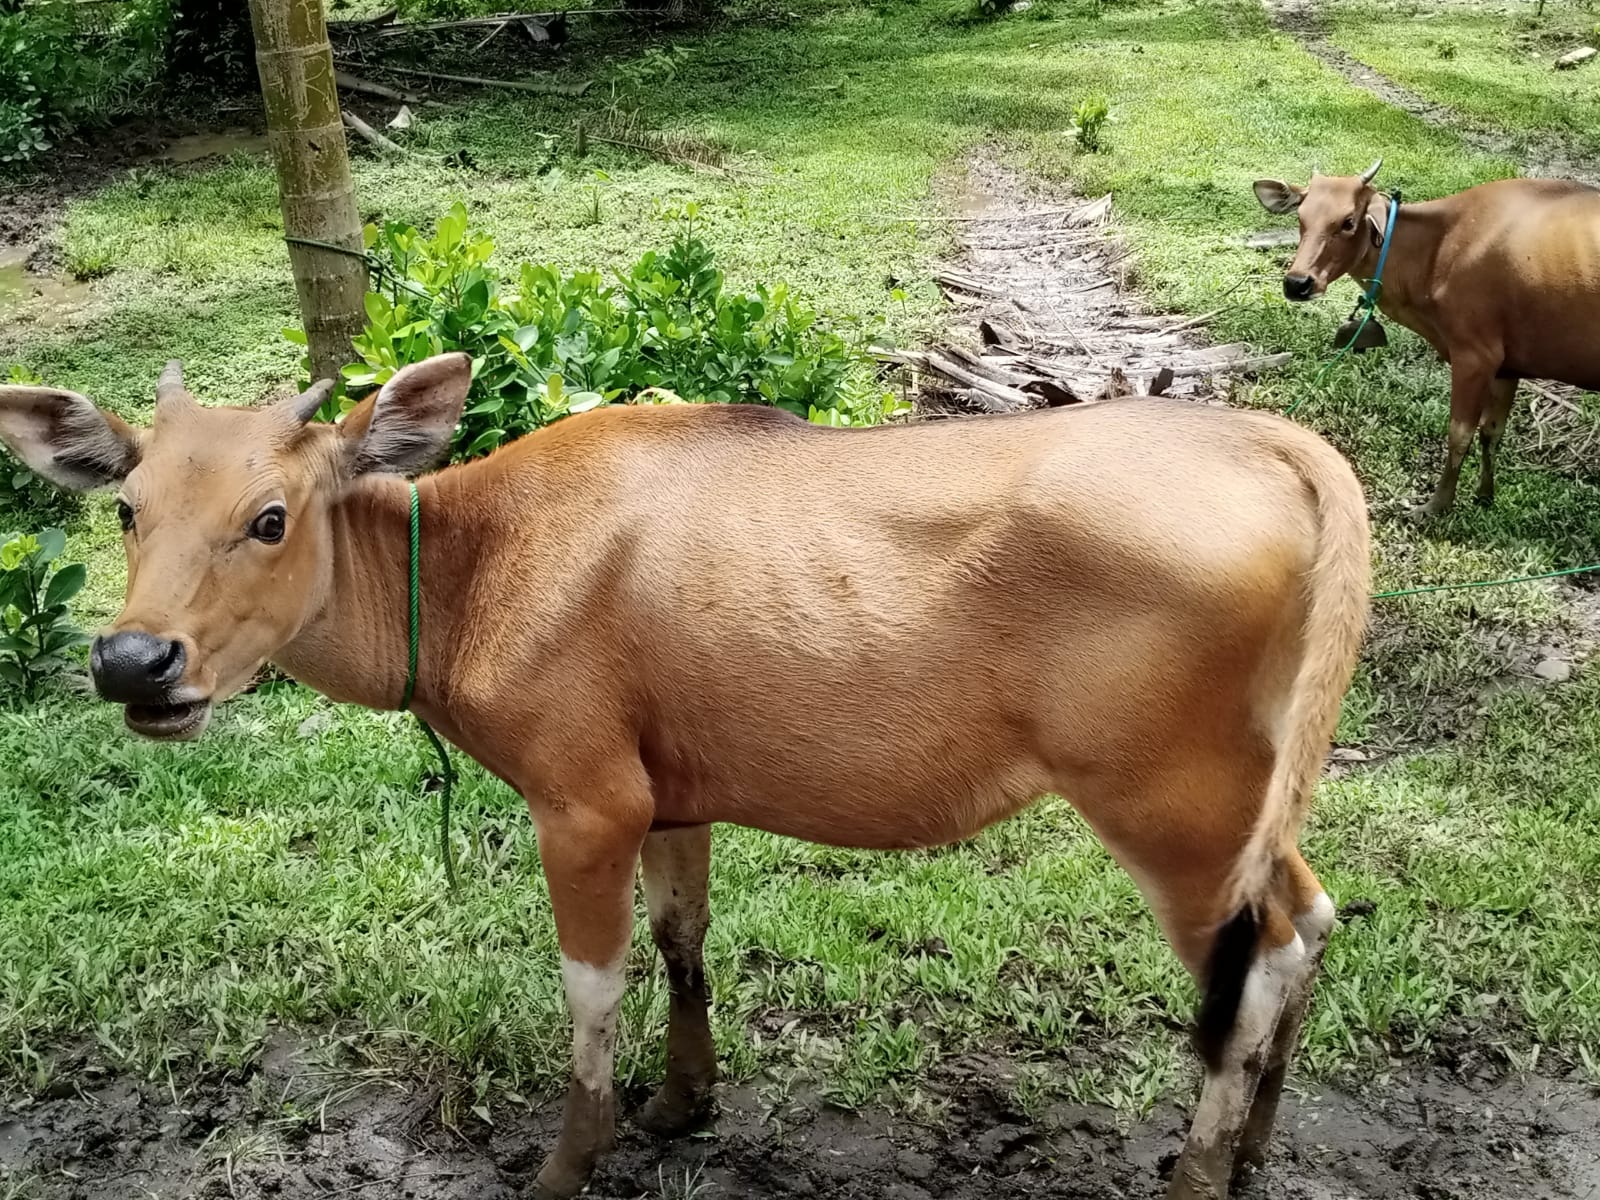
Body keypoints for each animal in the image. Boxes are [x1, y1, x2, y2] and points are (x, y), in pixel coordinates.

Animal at [0, 356, 1376, 1200]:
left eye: (272, 516)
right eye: (125, 508)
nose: (132, 662)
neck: (474, 565)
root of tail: (1272, 443)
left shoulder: (582, 801)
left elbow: (590, 984)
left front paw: (571, 1159)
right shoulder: (672, 795)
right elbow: (681, 941)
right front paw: (681, 1101)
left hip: (1163, 799)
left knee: (1251, 967)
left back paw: (1198, 1173)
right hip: (1245, 784)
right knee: (1309, 921)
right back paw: (1255, 1151)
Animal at [1248, 160, 1600, 518]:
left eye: (1348, 221)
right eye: (1301, 217)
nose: (1297, 283)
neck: (1437, 249)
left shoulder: (1475, 354)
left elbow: (1459, 435)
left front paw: (1435, 505)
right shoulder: (1507, 364)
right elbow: (1492, 432)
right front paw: (1484, 495)